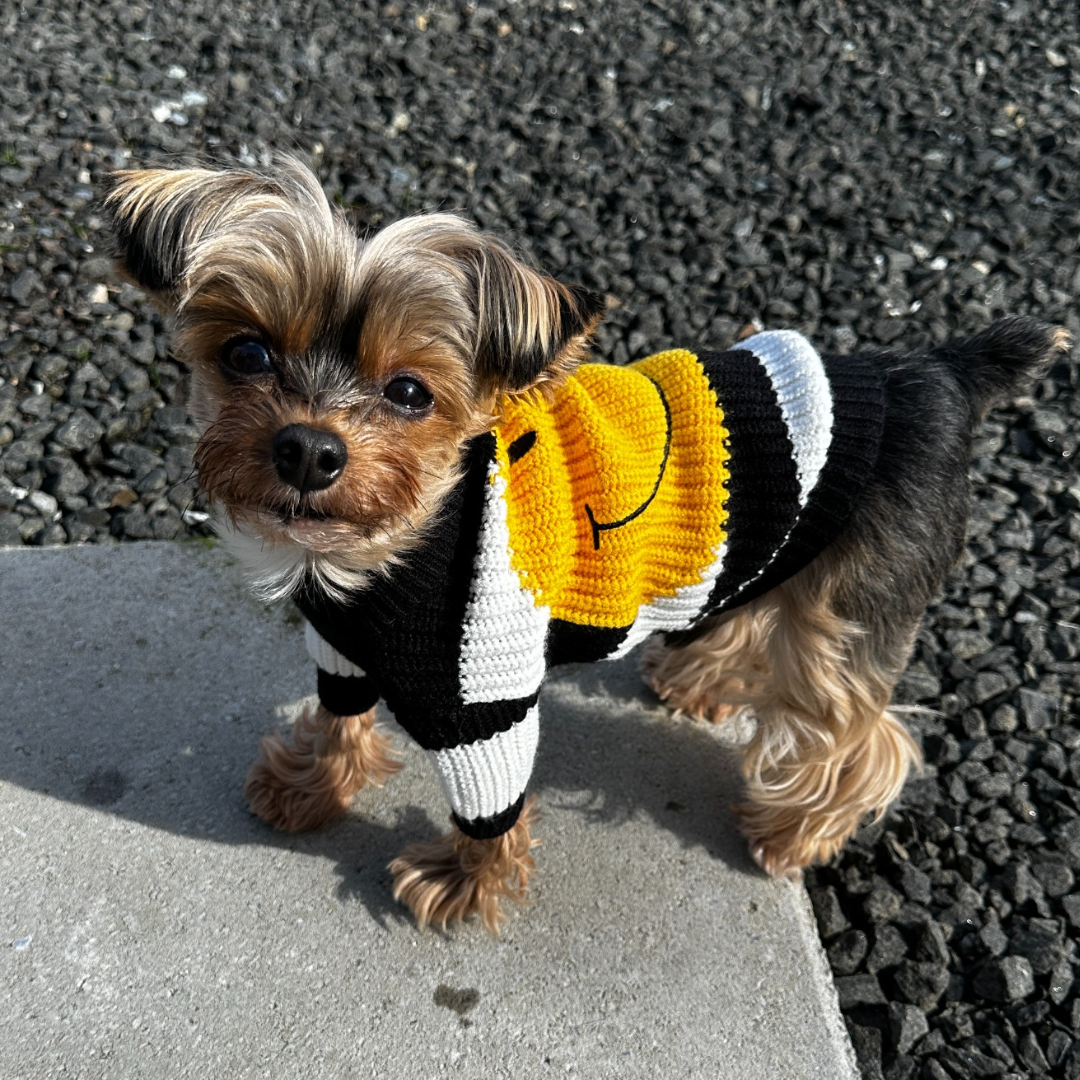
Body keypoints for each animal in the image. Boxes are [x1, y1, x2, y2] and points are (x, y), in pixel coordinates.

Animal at [105, 156, 1067, 933]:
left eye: (410, 392)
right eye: (247, 354)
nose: (309, 448)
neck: (379, 556)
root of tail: (942, 372)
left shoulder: (483, 699)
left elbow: (489, 805)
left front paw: (462, 884)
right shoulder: (341, 649)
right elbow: (339, 719)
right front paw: (310, 785)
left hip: (849, 609)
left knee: (863, 738)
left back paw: (792, 831)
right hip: (779, 540)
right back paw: (697, 677)